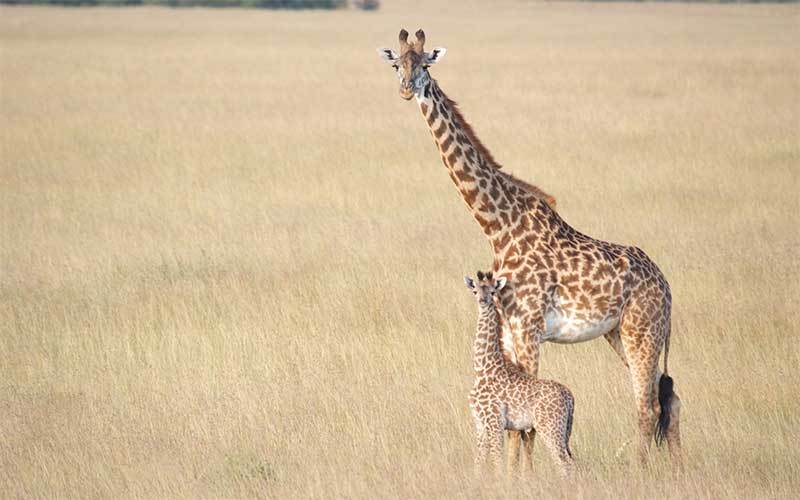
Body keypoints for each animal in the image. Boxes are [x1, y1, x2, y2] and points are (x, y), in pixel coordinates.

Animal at [466, 270, 580, 476]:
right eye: (475, 290)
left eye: (493, 291)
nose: (483, 301)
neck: (482, 369)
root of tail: (569, 396)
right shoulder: (480, 423)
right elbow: (478, 463)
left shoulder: (494, 422)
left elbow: (497, 462)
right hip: (563, 430)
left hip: (550, 428)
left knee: (566, 463)